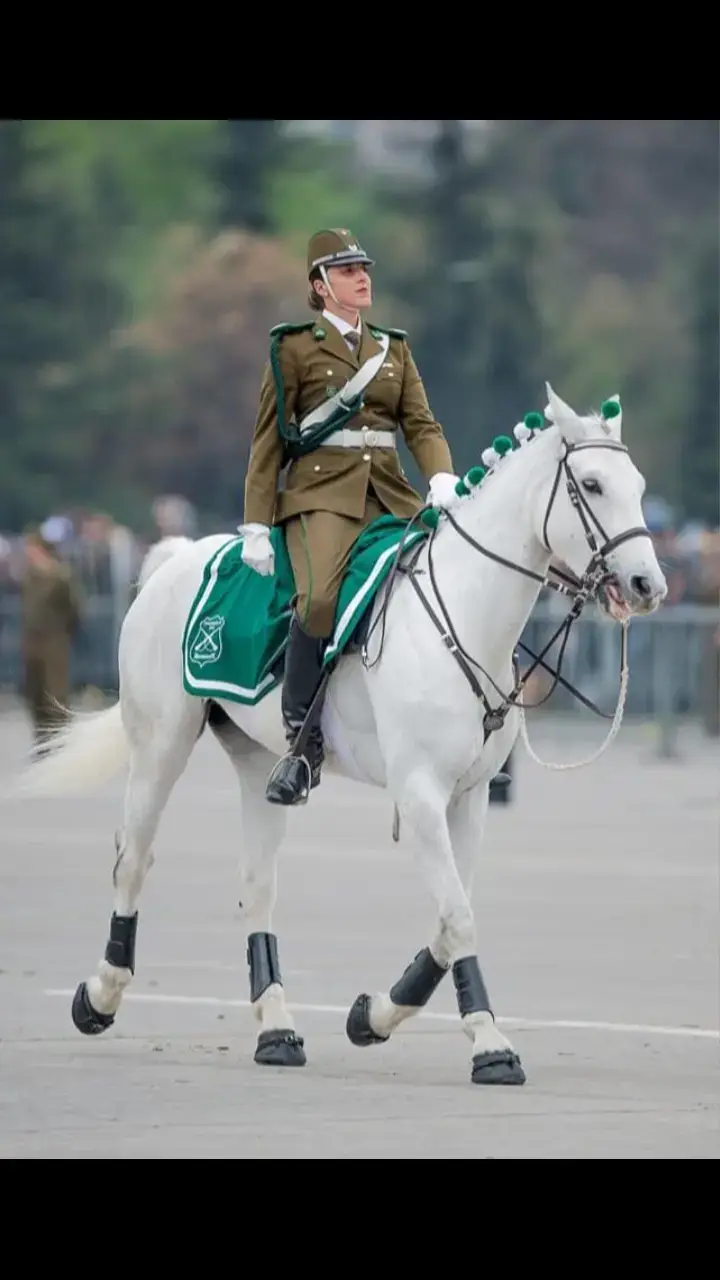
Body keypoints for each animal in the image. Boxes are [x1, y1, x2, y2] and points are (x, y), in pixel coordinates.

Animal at [11, 384, 666, 1085]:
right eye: (592, 485)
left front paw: (375, 1014)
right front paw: (489, 1043)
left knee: (256, 886)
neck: (463, 613)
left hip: (258, 763)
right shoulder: (420, 793)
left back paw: (275, 1028)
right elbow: (459, 919)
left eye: (638, 485)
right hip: (159, 747)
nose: (648, 585)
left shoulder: (469, 797)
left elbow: (449, 918)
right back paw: (99, 996)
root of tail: (178, 555)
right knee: (133, 860)